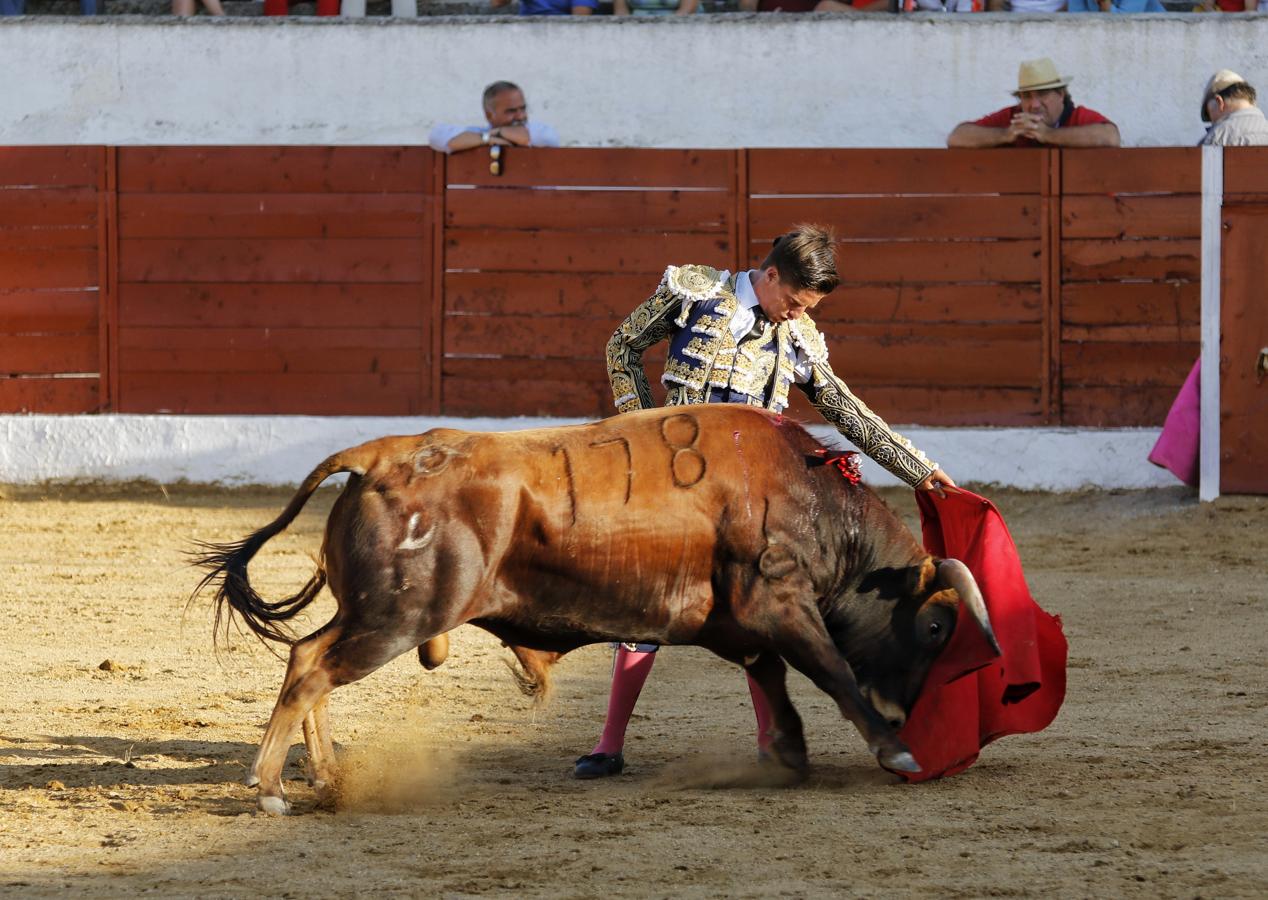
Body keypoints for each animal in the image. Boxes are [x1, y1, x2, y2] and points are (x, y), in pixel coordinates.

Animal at [192, 405, 994, 816]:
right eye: (934, 626)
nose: (907, 714)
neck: (816, 500)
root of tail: (378, 454)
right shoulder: (781, 603)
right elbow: (832, 673)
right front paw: (894, 751)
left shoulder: (742, 623)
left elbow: (775, 682)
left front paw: (790, 756)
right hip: (398, 616)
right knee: (311, 666)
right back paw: (271, 789)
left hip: (374, 611)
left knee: (310, 659)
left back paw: (325, 778)